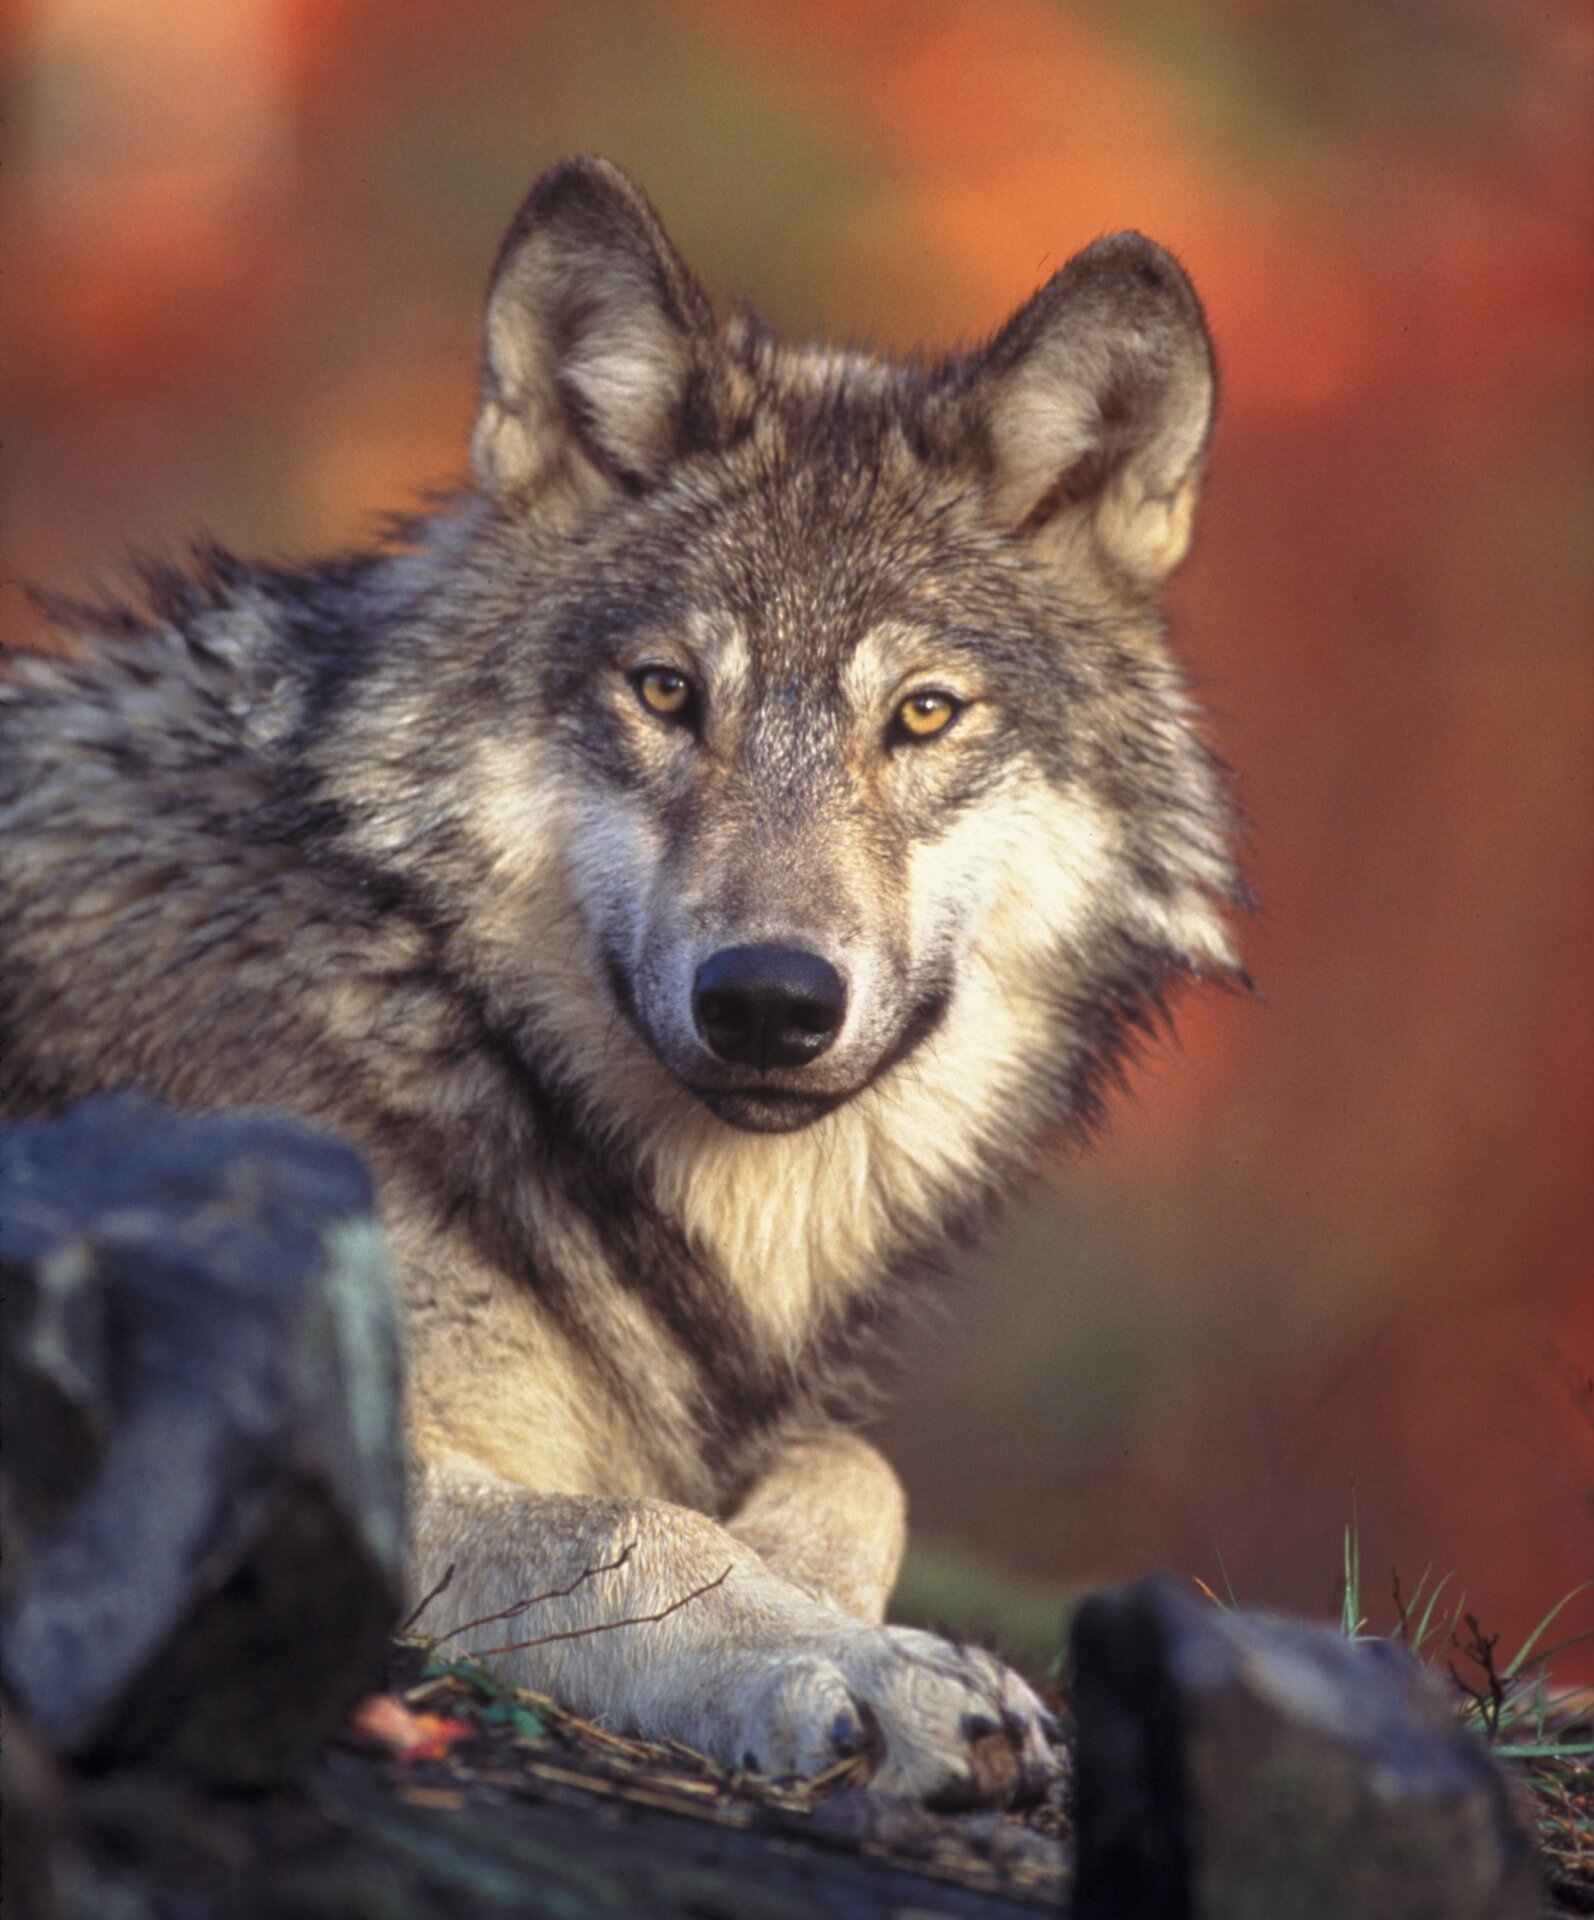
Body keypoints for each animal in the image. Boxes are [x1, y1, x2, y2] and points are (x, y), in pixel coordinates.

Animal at [0, 157, 1241, 1806]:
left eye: (922, 715)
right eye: (667, 693)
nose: (769, 999)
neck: (438, 1007)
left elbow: (855, 1467)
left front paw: (824, 1597)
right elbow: (631, 1530)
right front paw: (862, 1666)